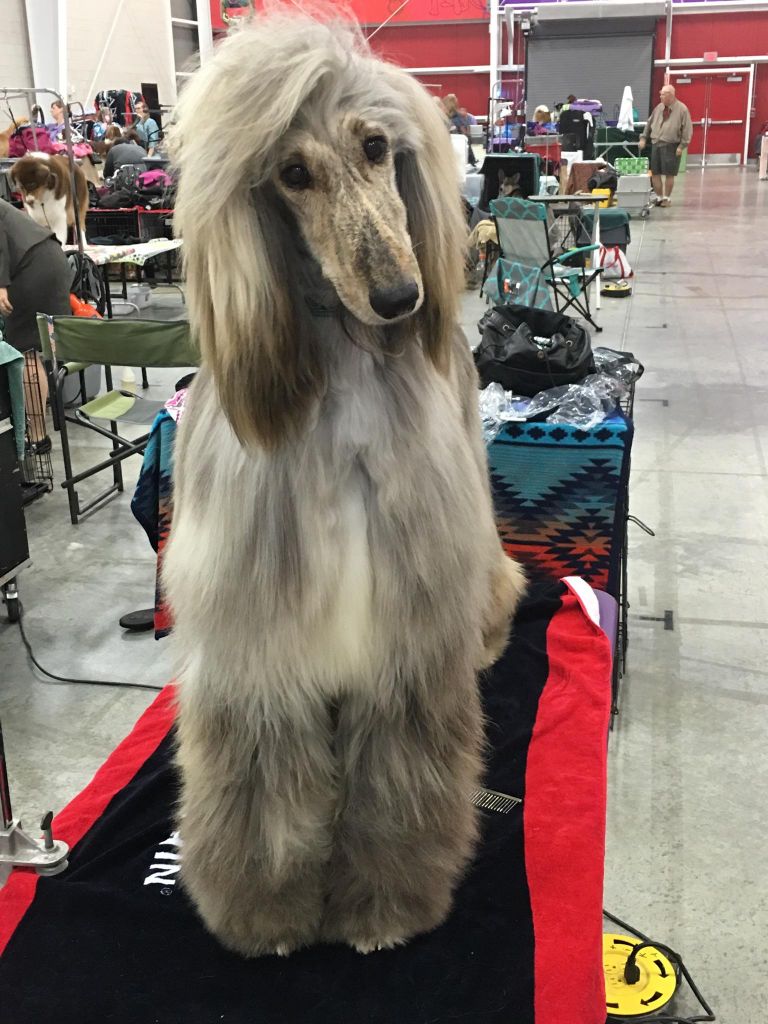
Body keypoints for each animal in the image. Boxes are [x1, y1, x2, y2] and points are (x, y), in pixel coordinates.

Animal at [163, 10, 525, 960]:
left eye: (375, 147)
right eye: (291, 174)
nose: (401, 297)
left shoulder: (405, 643)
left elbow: (396, 784)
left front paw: (384, 908)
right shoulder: (262, 651)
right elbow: (263, 788)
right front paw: (267, 914)